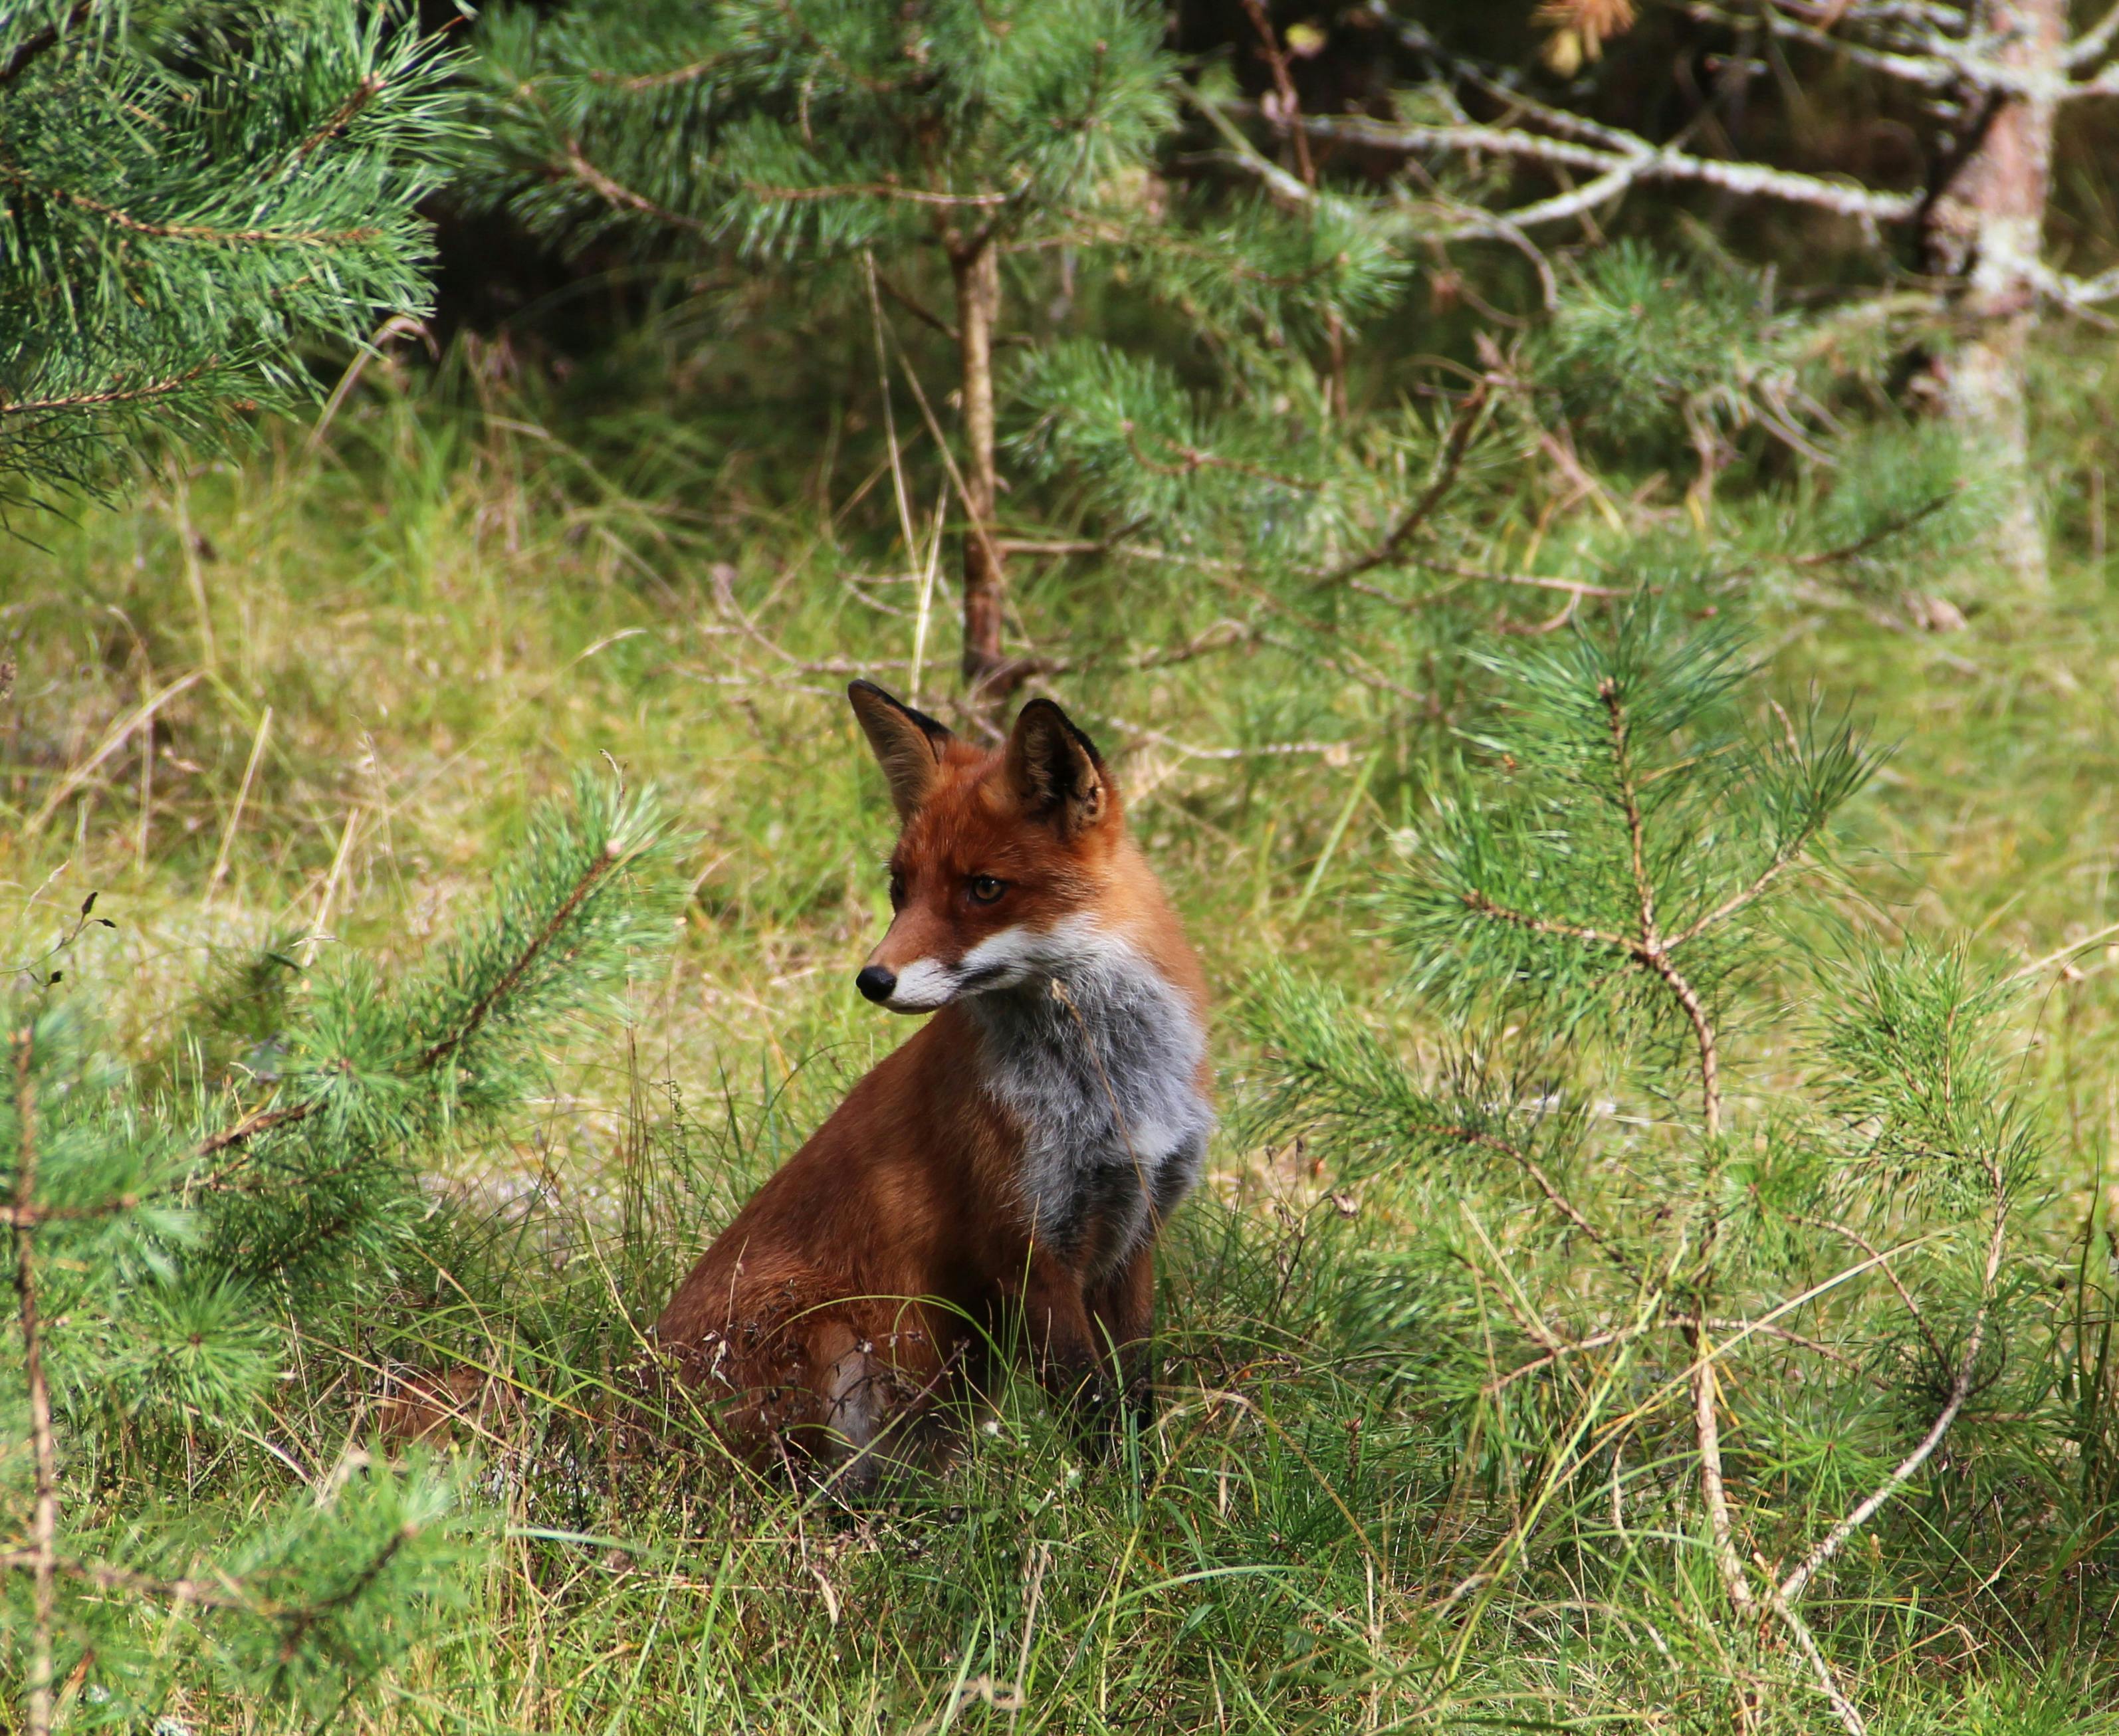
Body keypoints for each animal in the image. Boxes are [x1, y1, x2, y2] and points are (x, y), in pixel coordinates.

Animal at [650, 681, 1213, 1485]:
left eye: (985, 888)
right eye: (899, 887)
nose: (871, 979)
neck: (1109, 1084)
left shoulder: (1134, 1234)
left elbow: (1132, 1395)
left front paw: (1145, 1491)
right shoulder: (1025, 1249)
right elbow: (1090, 1406)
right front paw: (1118, 1506)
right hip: (824, 1339)